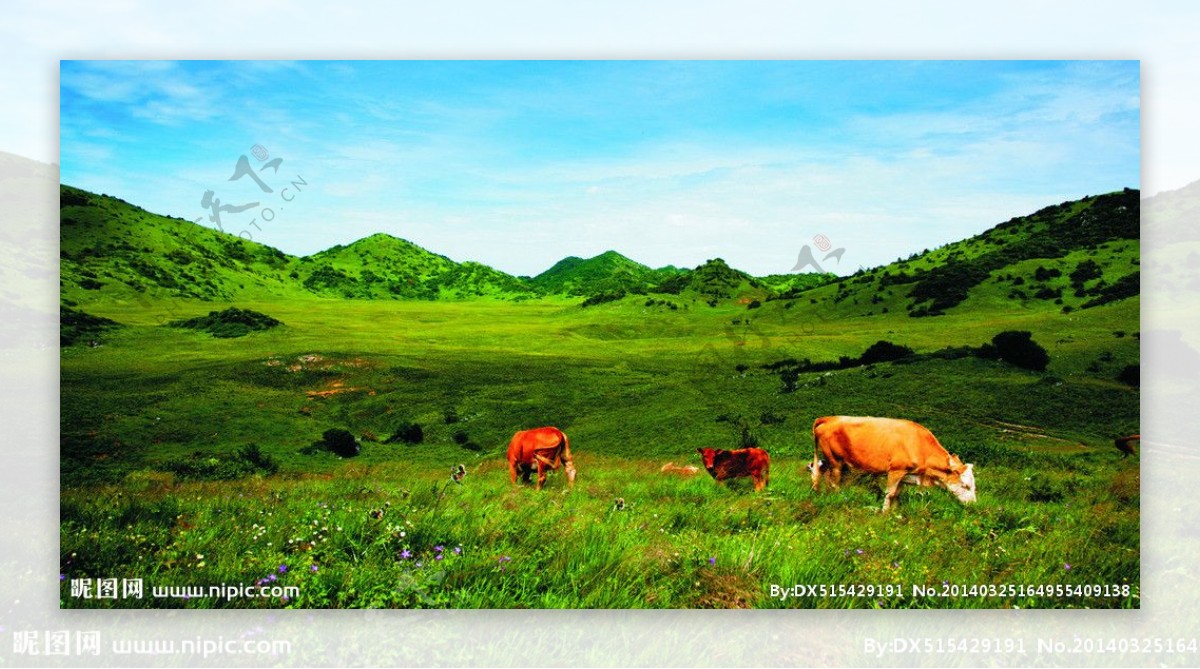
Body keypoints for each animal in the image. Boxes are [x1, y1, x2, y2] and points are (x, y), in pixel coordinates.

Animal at [811, 414, 979, 513]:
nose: (973, 504)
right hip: (836, 461)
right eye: (965, 485)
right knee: (834, 481)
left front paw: (895, 512)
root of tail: (829, 418)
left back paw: (821, 493)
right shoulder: (895, 470)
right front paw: (885, 513)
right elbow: (890, 493)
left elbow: (897, 494)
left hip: (832, 460)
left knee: (821, 473)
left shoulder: (906, 475)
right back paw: (840, 498)